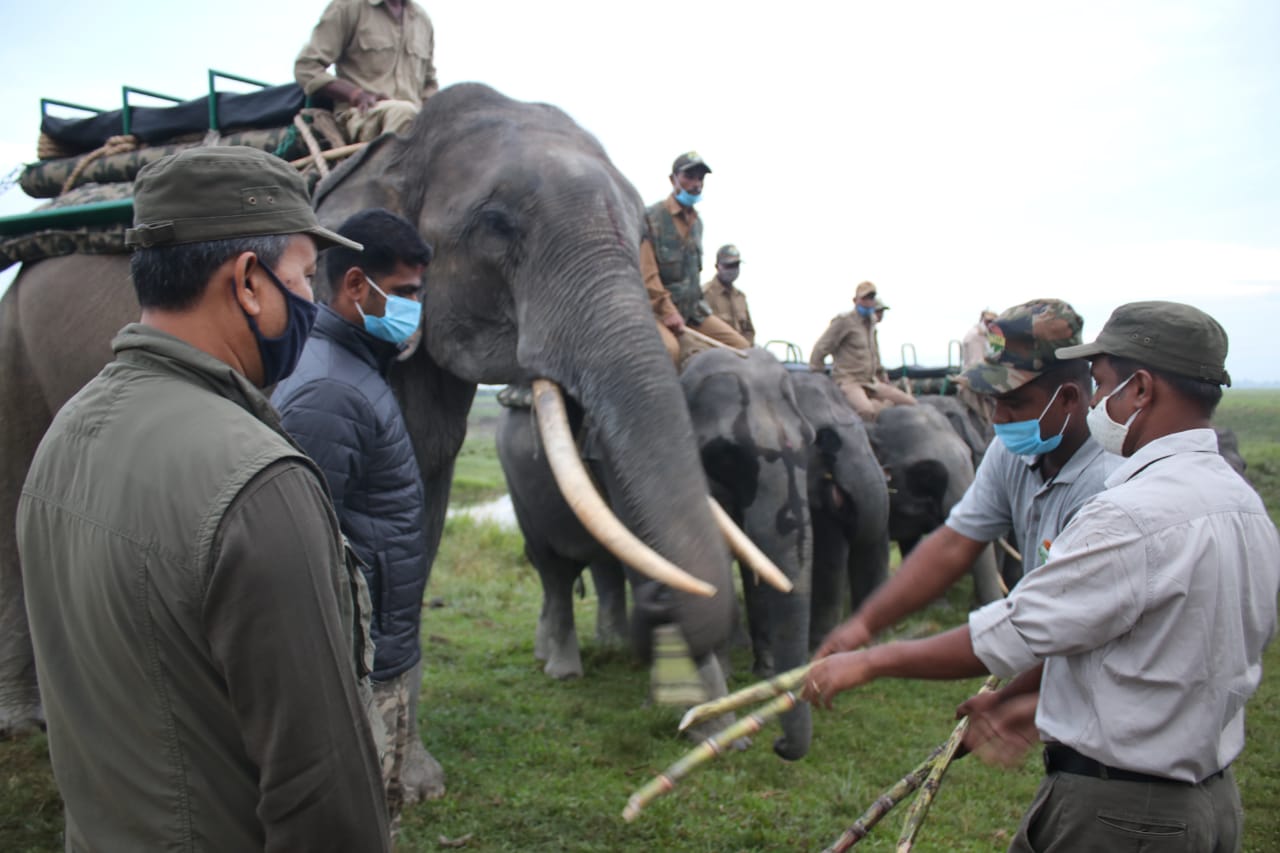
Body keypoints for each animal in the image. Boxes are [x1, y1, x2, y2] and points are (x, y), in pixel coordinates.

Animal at [0, 81, 747, 778]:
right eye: (497, 223)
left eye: (640, 232)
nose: (660, 617)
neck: (400, 146)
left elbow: (416, 525)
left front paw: (416, 782)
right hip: (14, 345)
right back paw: (27, 723)